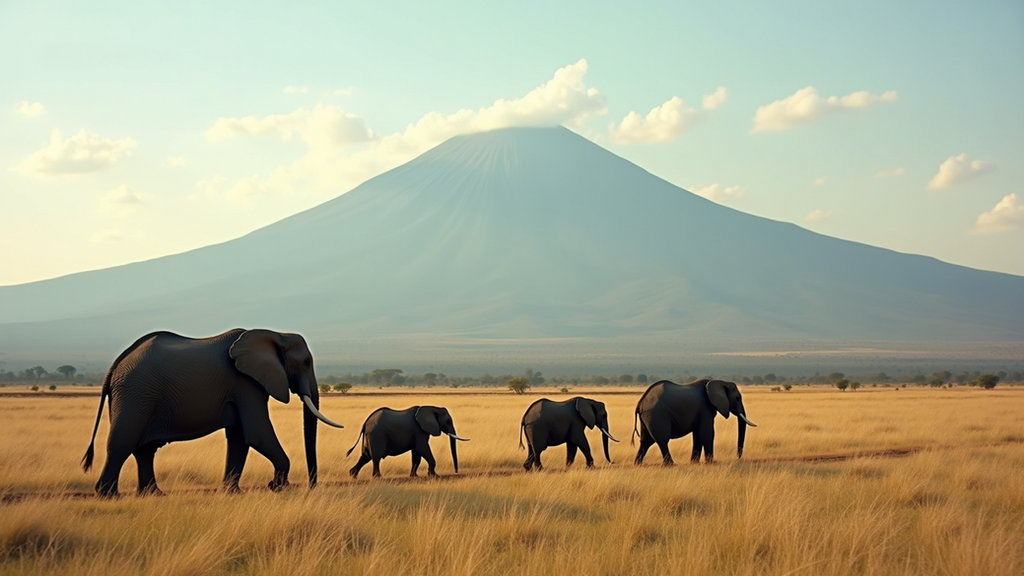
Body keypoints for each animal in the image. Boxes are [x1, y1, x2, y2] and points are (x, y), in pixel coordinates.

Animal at [81, 329, 344, 497]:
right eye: (306, 362)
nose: (312, 486)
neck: (277, 334)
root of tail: (114, 366)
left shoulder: (242, 386)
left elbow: (239, 438)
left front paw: (233, 493)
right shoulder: (245, 383)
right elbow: (257, 434)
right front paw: (278, 488)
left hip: (137, 396)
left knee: (145, 450)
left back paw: (153, 494)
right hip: (136, 393)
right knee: (122, 444)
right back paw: (108, 496)